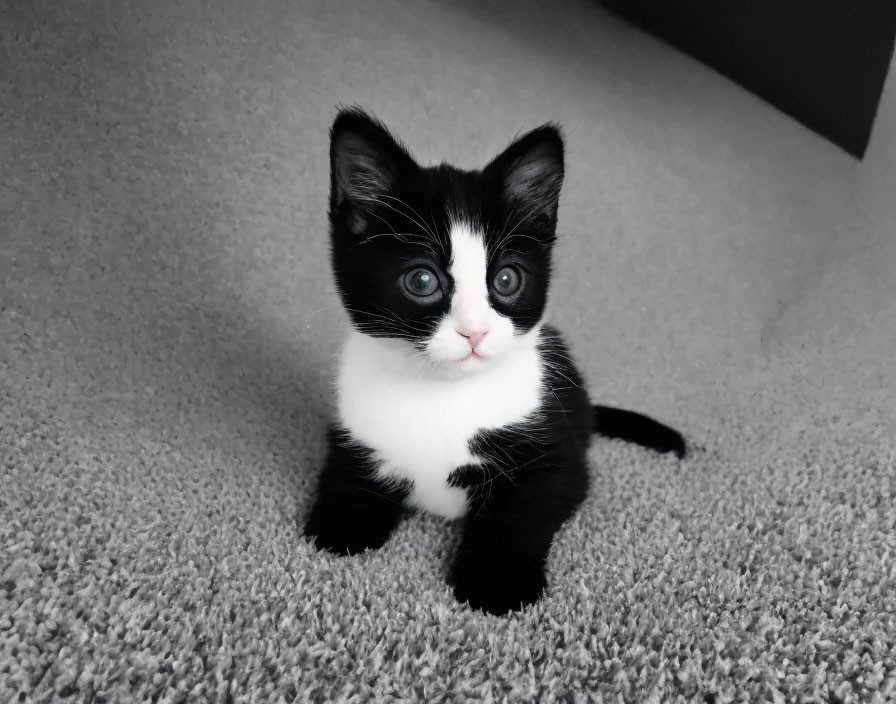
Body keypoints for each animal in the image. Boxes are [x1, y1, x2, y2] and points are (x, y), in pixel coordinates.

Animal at [302, 107, 688, 612]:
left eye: (506, 279)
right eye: (422, 280)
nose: (475, 331)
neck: (440, 395)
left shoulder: (557, 455)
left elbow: (519, 515)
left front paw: (496, 584)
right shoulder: (351, 428)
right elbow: (347, 479)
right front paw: (341, 524)